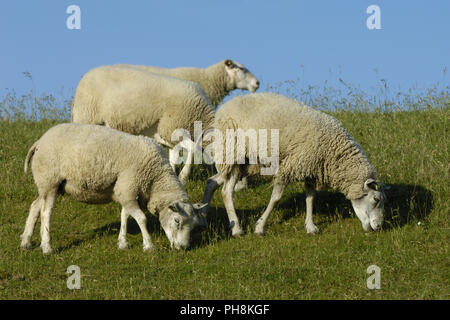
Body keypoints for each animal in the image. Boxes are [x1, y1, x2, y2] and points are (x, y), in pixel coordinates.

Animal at [19, 123, 206, 255]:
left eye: (194, 225)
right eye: (177, 221)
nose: (183, 248)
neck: (156, 179)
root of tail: (39, 142)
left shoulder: (126, 190)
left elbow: (125, 215)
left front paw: (123, 243)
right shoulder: (129, 188)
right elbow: (141, 218)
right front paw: (148, 245)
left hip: (47, 184)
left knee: (35, 206)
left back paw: (26, 241)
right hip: (50, 180)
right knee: (46, 213)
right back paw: (47, 247)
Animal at [71, 65, 216, 184]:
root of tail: (85, 77)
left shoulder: (168, 135)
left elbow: (173, 158)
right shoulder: (174, 128)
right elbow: (193, 148)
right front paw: (183, 177)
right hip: (87, 116)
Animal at [202, 91, 388, 236]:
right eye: (376, 199)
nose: (379, 226)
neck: (333, 152)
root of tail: (224, 107)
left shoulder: (312, 170)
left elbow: (310, 198)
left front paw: (310, 226)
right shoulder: (289, 167)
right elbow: (276, 198)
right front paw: (260, 227)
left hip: (245, 164)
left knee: (213, 182)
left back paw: (205, 215)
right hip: (233, 153)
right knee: (226, 191)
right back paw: (237, 229)